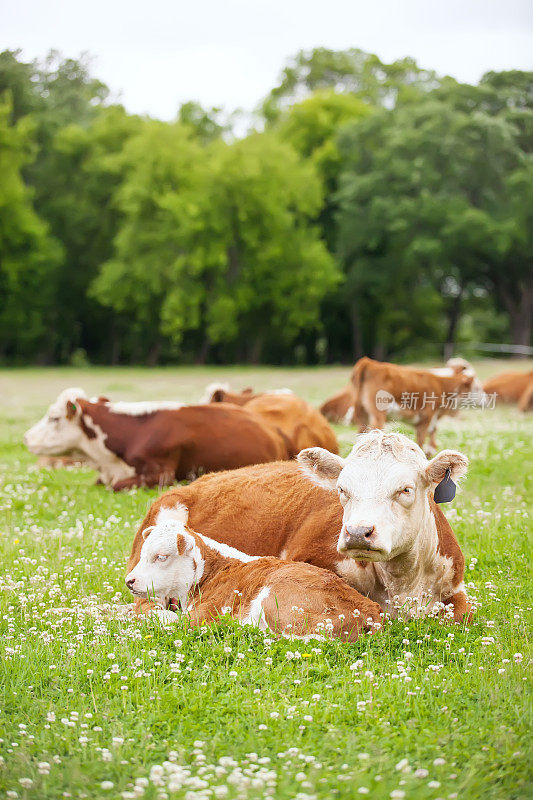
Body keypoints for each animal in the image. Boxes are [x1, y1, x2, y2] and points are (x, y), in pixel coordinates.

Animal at [124, 510, 382, 640]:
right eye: (143, 553)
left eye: (161, 556)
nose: (129, 581)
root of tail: (369, 610)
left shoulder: (202, 616)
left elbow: (167, 619)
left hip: (277, 599)